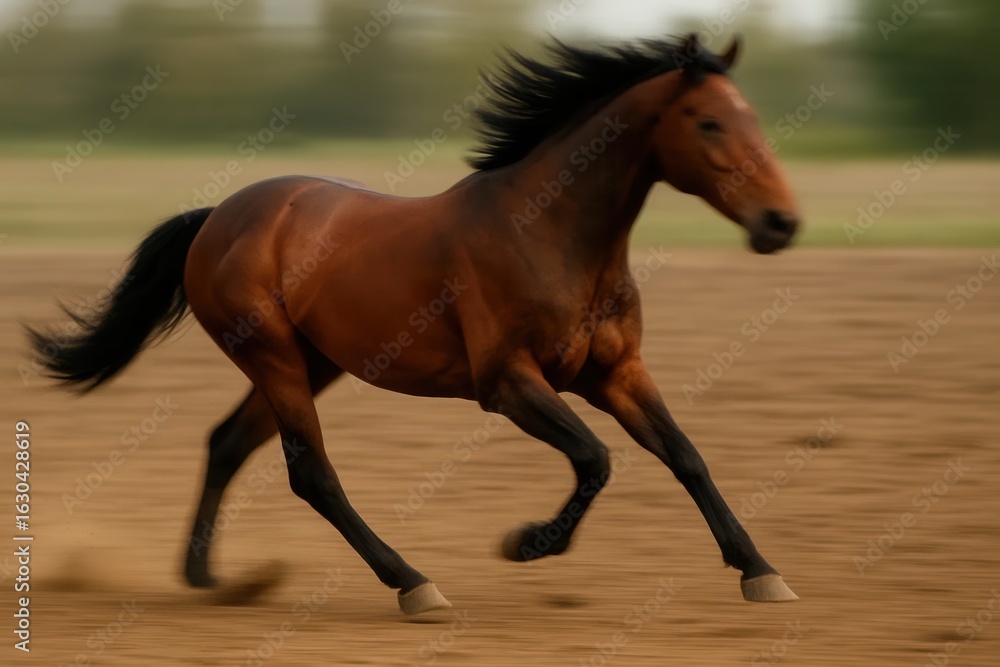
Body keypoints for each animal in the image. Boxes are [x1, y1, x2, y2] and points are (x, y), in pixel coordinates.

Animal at [28, 33, 801, 615]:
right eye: (709, 121)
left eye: (755, 119)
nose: (782, 223)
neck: (550, 234)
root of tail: (218, 214)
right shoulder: (508, 383)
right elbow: (595, 457)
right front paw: (526, 543)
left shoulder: (615, 374)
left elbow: (685, 456)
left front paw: (761, 571)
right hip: (273, 356)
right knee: (311, 472)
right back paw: (413, 583)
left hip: (312, 360)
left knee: (227, 443)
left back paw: (207, 577)